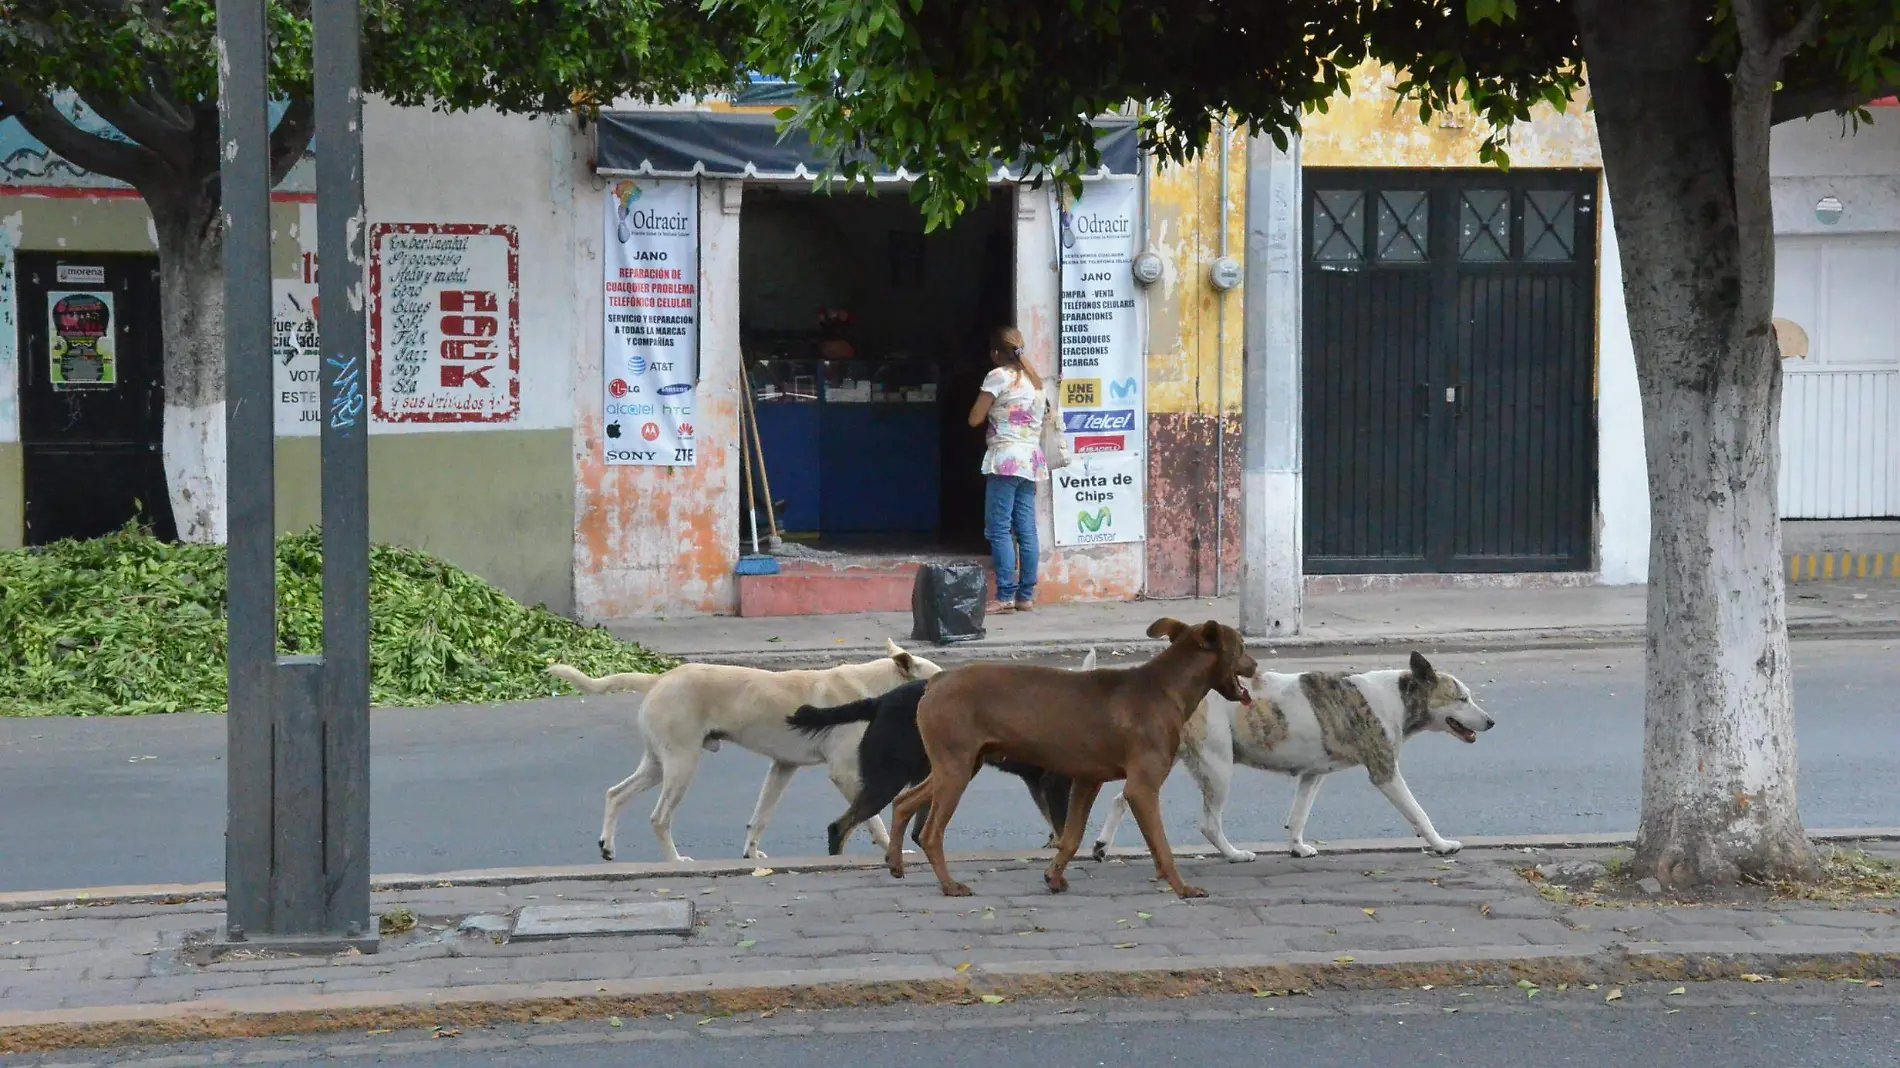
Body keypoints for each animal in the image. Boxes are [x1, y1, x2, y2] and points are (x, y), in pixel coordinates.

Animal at [547, 634, 938, 858]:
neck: (875, 687)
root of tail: (660, 678)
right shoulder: (844, 773)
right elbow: (871, 818)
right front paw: (889, 847)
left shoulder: (783, 767)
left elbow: (760, 817)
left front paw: (752, 854)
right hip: (682, 765)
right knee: (659, 819)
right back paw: (675, 862)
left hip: (658, 765)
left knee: (615, 793)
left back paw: (608, 845)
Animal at [786, 676, 1071, 851]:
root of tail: (880, 701)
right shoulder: (1052, 783)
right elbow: (1062, 828)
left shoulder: (1039, 783)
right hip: (888, 780)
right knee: (840, 827)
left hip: (930, 775)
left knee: (918, 831)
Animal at [889, 615, 1261, 896]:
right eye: (1242, 646)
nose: (1256, 664)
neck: (1165, 687)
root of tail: (937, 680)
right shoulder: (1142, 788)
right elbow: (1161, 845)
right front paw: (1182, 889)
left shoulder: (1086, 780)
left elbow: (1071, 837)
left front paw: (1054, 877)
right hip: (956, 769)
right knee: (931, 833)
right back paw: (949, 885)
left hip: (959, 765)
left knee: (904, 801)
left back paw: (895, 863)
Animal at [1094, 649, 1489, 855]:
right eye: (1461, 698)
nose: (1492, 722)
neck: (1397, 697)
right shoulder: (1385, 772)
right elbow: (1419, 813)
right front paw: (1441, 844)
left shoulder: (1312, 775)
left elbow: (1298, 815)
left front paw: (1297, 847)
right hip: (1218, 769)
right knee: (1208, 824)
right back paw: (1234, 855)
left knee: (1122, 798)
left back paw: (1101, 845)